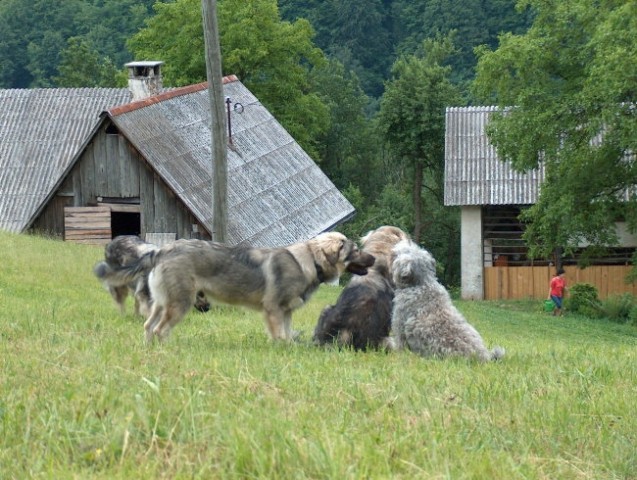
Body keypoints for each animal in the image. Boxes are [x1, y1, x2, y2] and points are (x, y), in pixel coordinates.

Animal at [94, 234, 372, 344]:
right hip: (180, 304)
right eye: (356, 250)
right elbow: (280, 337)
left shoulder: (286, 312)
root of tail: (162, 249)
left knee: (147, 326)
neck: (310, 261)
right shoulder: (273, 310)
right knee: (160, 330)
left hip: (162, 303)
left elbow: (287, 334)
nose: (373, 259)